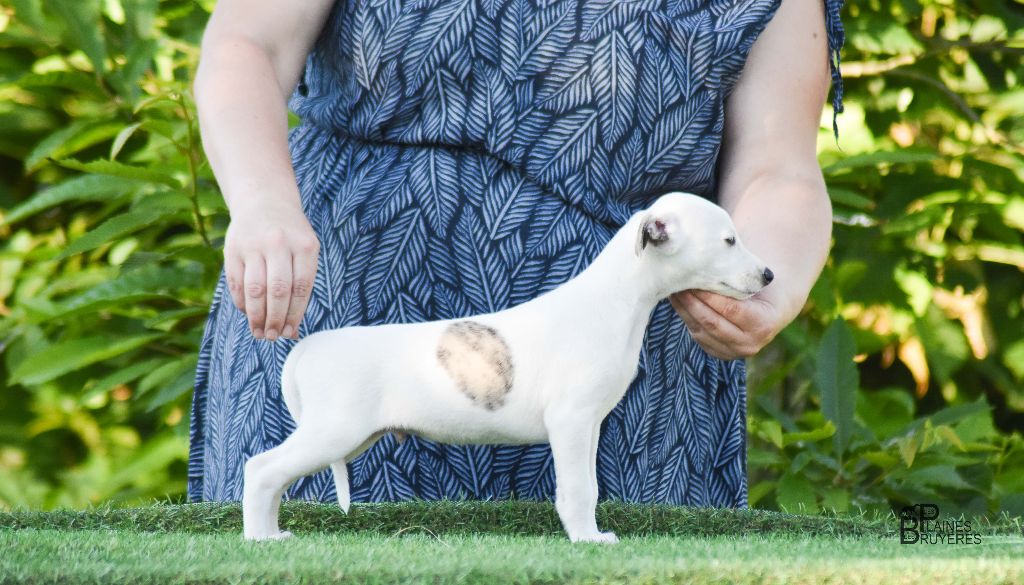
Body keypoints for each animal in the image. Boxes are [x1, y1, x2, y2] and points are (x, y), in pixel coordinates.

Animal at [242, 191, 773, 543]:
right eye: (729, 240)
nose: (769, 274)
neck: (615, 299)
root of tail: (308, 348)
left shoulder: (589, 424)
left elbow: (590, 485)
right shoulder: (571, 421)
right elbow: (579, 488)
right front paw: (587, 540)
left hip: (346, 435)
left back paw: (271, 534)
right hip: (334, 430)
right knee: (260, 469)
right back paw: (259, 539)